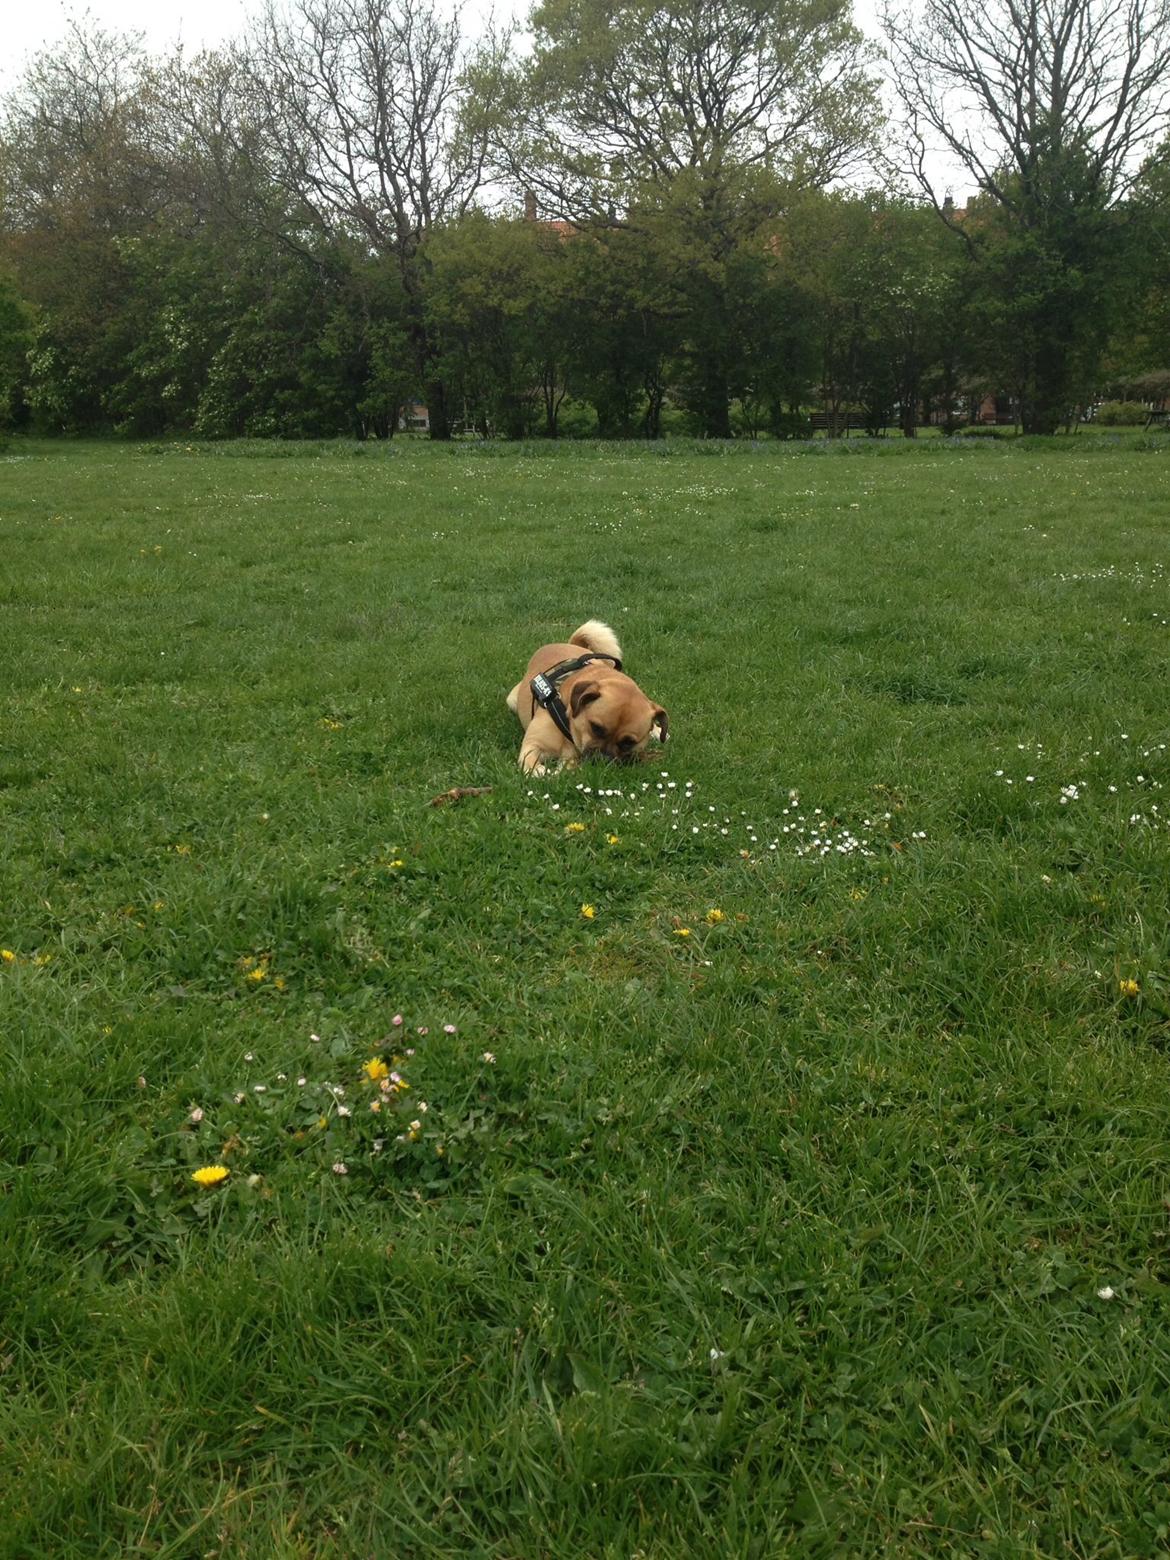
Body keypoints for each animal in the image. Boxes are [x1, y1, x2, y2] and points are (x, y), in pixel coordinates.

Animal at [505, 614, 667, 773]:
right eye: (596, 728)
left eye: (628, 742)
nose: (603, 760)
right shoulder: (533, 744)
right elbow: (530, 762)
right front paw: (539, 771)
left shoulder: (571, 756)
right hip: (512, 700)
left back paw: (657, 731)